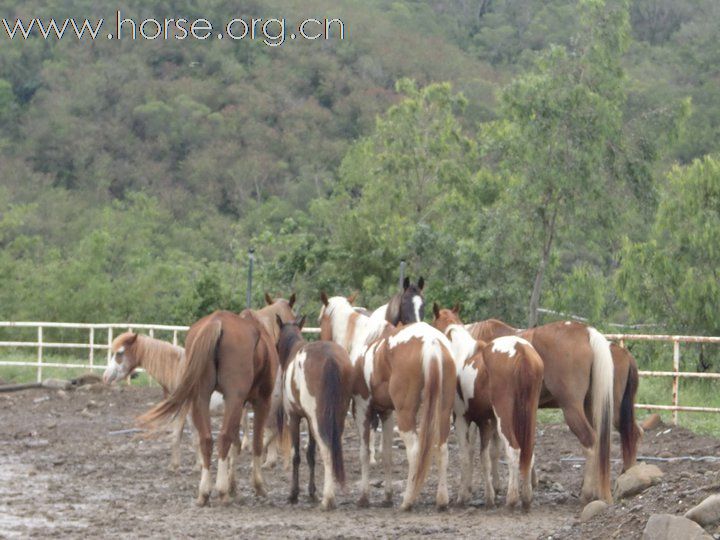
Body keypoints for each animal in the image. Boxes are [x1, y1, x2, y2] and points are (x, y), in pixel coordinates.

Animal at [139, 312, 278, 506]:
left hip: (201, 398)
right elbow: (256, 442)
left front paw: (234, 486)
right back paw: (222, 491)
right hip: (234, 399)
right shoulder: (261, 401)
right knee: (223, 437)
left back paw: (204, 492)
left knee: (206, 439)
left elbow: (236, 443)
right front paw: (257, 485)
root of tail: (217, 321)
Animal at [276, 314, 354, 508]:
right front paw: (311, 492)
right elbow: (310, 453)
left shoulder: (294, 417)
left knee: (326, 448)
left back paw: (328, 498)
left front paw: (293, 494)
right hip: (337, 416)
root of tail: (331, 359)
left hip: (318, 419)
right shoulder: (309, 421)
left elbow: (296, 455)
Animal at [318, 294, 452, 508]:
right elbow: (387, 454)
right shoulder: (387, 412)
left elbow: (365, 452)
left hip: (406, 416)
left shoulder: (362, 408)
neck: (361, 337)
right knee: (442, 448)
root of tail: (430, 343)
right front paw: (387, 496)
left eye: (319, 320)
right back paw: (442, 499)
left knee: (415, 451)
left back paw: (408, 500)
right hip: (443, 412)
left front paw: (364, 497)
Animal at [430, 306, 544, 508]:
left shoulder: (462, 419)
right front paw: (489, 495)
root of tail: (521, 351)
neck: (461, 353)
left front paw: (463, 496)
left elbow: (466, 455)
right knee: (528, 452)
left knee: (514, 450)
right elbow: (485, 456)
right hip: (528, 415)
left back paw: (512, 499)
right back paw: (526, 497)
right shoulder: (486, 421)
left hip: (504, 417)